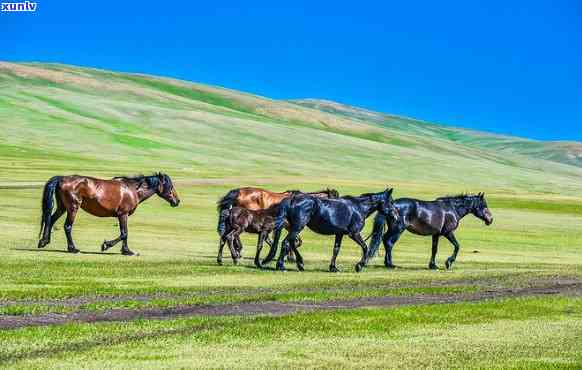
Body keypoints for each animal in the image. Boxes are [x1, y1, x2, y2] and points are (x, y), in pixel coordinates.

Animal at [38, 173, 180, 254]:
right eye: (170, 186)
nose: (177, 201)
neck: (133, 190)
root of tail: (61, 179)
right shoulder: (123, 214)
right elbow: (124, 233)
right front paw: (107, 245)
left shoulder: (123, 216)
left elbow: (124, 234)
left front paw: (126, 251)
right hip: (73, 208)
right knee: (67, 226)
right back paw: (72, 248)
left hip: (62, 207)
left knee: (51, 219)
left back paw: (44, 241)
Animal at [262, 188, 400, 272]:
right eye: (391, 202)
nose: (396, 217)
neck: (359, 207)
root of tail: (292, 199)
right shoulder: (354, 234)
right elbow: (365, 247)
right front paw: (359, 266)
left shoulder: (339, 234)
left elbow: (336, 250)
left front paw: (333, 268)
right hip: (298, 227)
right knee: (286, 242)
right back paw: (281, 266)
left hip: (294, 228)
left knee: (291, 243)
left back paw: (300, 264)